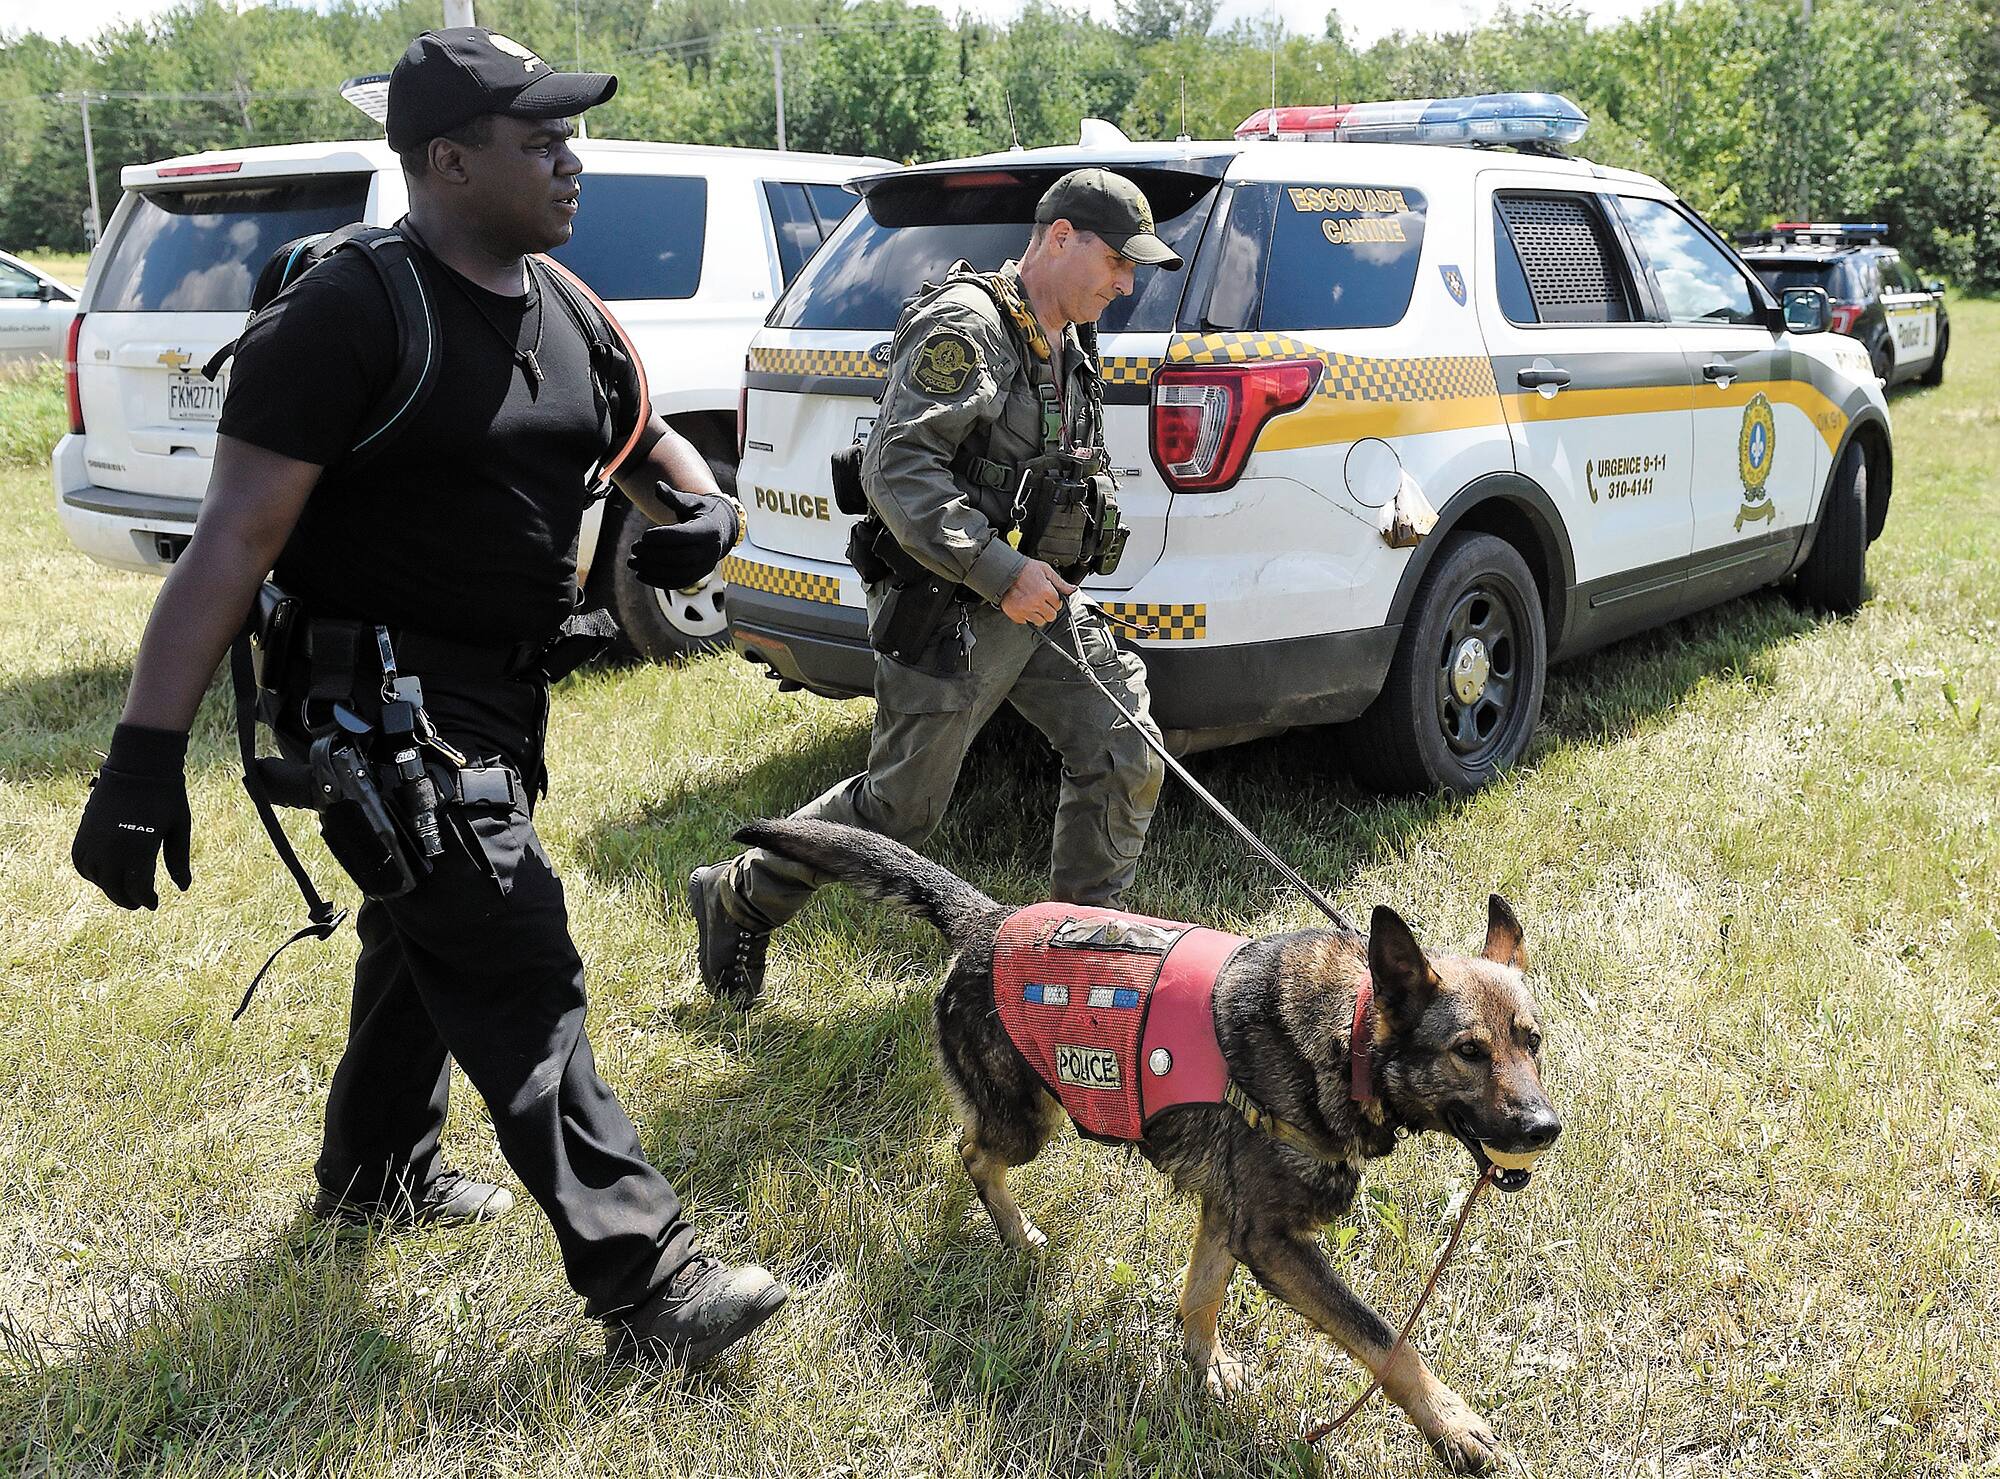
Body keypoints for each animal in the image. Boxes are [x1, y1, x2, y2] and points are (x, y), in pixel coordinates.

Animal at [736, 818, 1560, 1473]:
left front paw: (1205, 1367)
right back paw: (1014, 1231)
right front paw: (1454, 1425)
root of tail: (987, 922)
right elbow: (1387, 1341)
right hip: (1028, 1122)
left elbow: (1200, 1295)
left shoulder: (1229, 1217)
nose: (1546, 1128)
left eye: (1532, 1042)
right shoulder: (1274, 1241)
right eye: (1468, 1052)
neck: (1348, 1038)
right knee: (971, 1152)